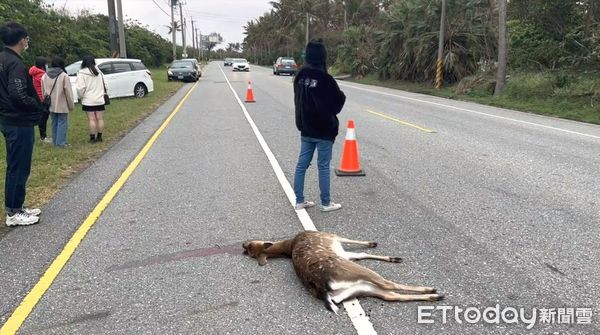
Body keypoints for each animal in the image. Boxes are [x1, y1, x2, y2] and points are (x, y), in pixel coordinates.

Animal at [241, 232, 442, 314]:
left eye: (250, 246)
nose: (243, 244)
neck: (289, 244)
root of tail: (323, 289)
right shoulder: (330, 235)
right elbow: (352, 242)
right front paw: (372, 242)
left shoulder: (345, 253)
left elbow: (361, 254)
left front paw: (392, 257)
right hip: (357, 273)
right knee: (388, 284)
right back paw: (431, 290)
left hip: (359, 288)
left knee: (390, 295)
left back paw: (434, 297)